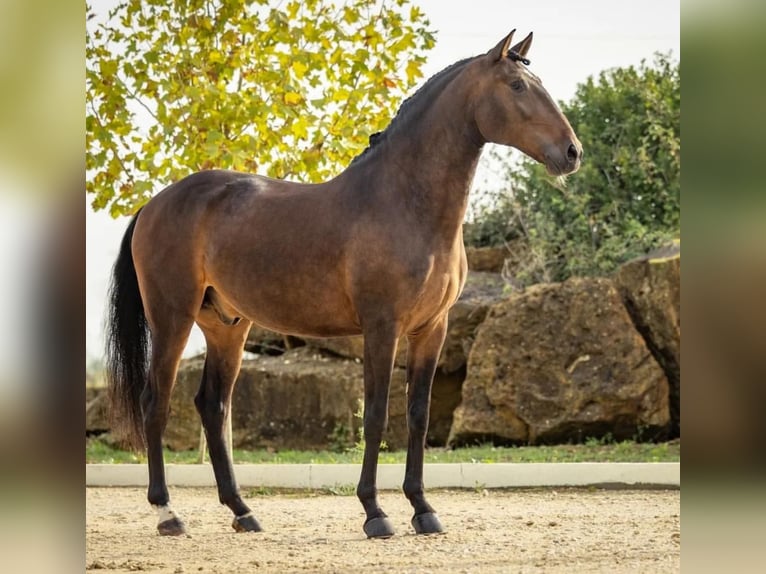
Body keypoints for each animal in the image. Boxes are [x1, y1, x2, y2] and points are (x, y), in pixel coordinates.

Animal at [103, 29, 584, 544]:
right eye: (517, 85)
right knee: (155, 402)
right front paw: (375, 512)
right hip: (172, 317)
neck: (404, 203)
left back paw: (243, 511)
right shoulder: (381, 327)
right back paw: (167, 513)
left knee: (213, 407)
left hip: (228, 326)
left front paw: (423, 509)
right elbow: (375, 416)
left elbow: (418, 416)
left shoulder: (432, 329)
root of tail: (155, 204)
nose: (572, 152)